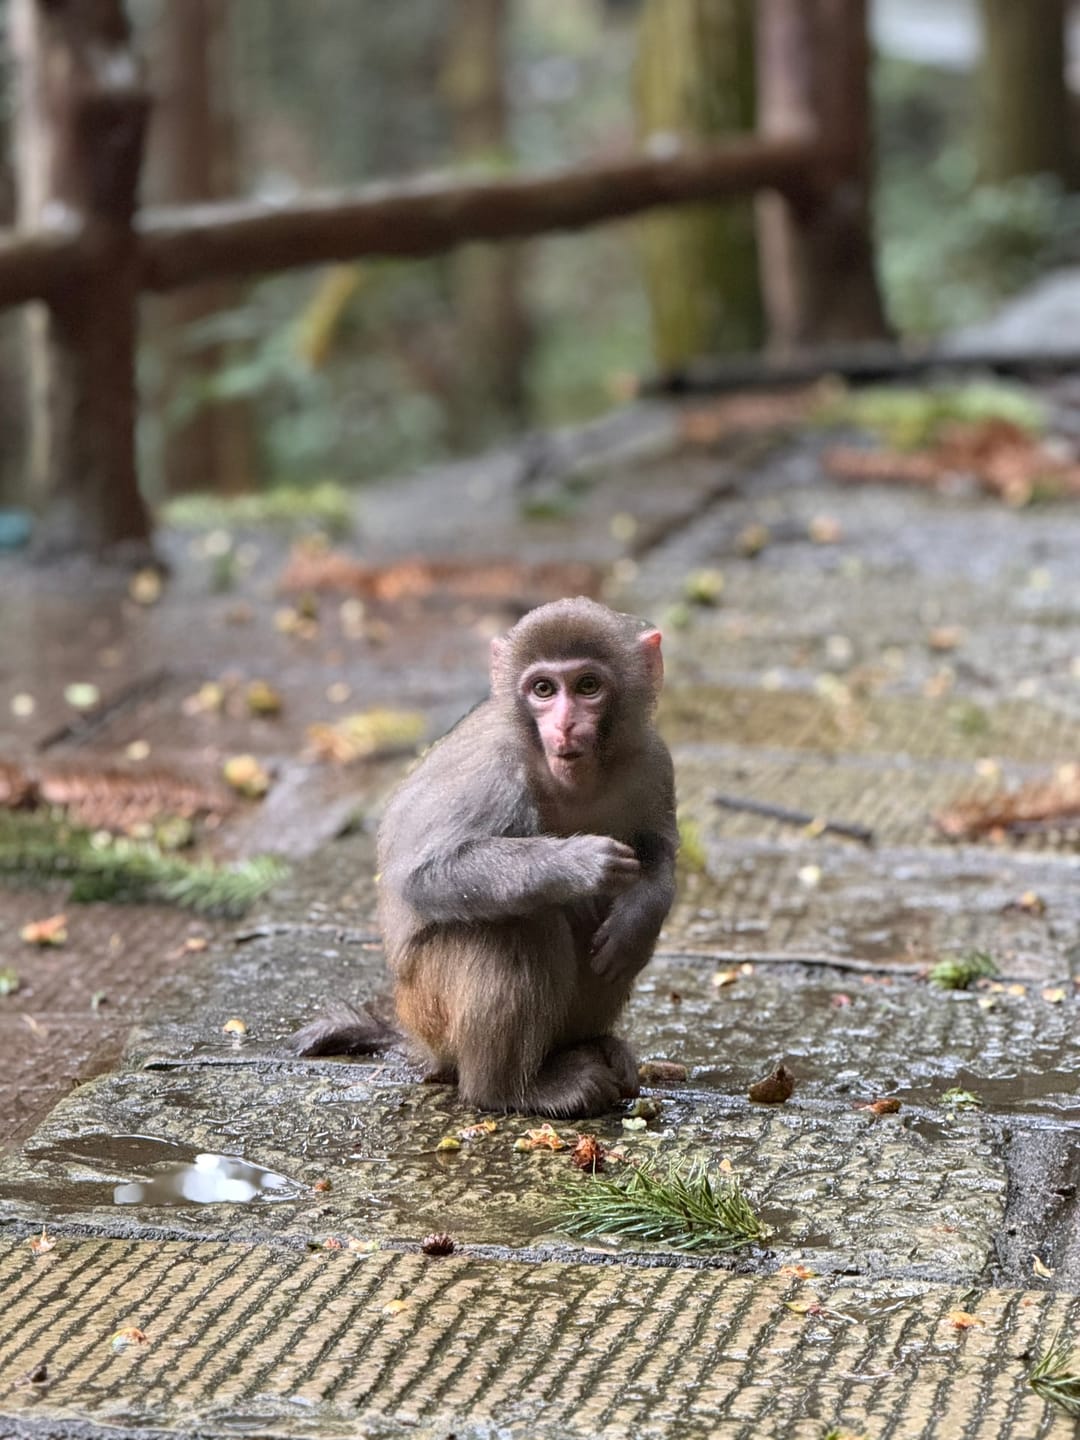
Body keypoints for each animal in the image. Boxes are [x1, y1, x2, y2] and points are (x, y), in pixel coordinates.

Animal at [293, 596, 677, 1118]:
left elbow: (658, 851)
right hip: (429, 1007)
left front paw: (638, 919)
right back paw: (513, 1089)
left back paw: (586, 1046)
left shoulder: (654, 761)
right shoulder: (493, 771)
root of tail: (418, 1038)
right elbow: (425, 874)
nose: (565, 725)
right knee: (518, 924)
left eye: (588, 686)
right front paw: (579, 864)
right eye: (542, 689)